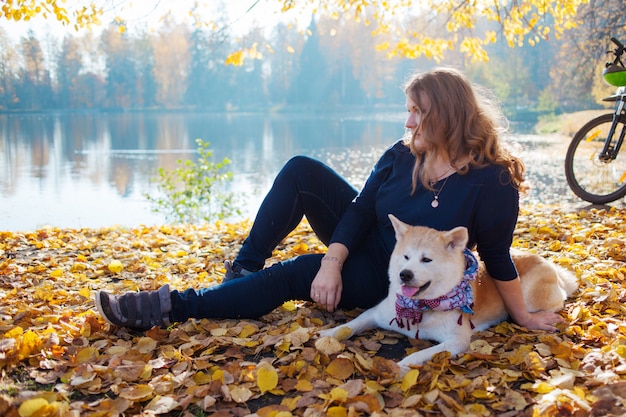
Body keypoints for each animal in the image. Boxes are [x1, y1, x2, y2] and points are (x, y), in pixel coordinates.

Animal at [320, 214, 576, 370]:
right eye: (406, 257)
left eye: (426, 259)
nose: (405, 274)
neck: (421, 308)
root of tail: (550, 264)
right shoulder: (375, 313)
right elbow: (351, 325)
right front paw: (328, 334)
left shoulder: (456, 342)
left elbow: (417, 355)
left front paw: (401, 366)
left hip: (530, 297)